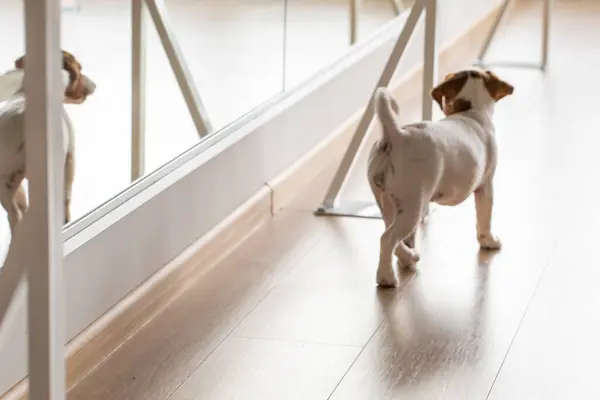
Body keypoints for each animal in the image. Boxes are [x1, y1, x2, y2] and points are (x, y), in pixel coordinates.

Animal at [0, 50, 96, 233]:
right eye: (80, 69)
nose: (95, 86)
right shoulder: (70, 157)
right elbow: (67, 197)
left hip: (7, 185)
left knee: (15, 217)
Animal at [368, 68, 512, 288]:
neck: (470, 111)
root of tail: (397, 135)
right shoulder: (486, 186)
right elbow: (484, 218)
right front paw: (489, 241)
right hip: (413, 206)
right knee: (387, 238)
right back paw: (387, 277)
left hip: (387, 202)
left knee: (391, 234)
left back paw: (409, 257)